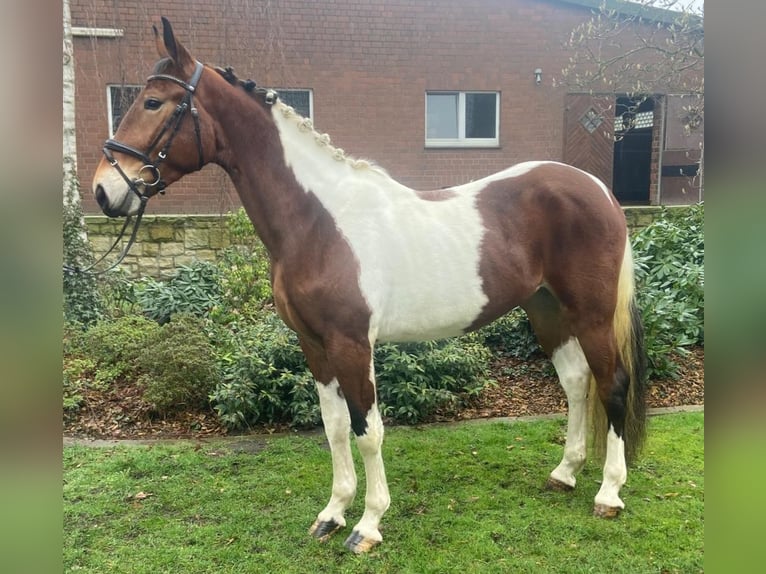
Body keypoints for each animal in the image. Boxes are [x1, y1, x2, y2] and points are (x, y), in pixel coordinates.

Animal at [92, 17, 647, 554]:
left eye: (153, 102)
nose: (103, 189)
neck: (319, 221)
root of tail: (598, 190)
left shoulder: (352, 343)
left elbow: (368, 431)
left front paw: (369, 524)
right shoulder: (314, 345)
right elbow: (336, 427)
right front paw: (332, 514)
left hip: (591, 314)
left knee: (612, 384)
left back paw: (608, 493)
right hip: (547, 310)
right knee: (576, 383)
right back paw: (565, 473)